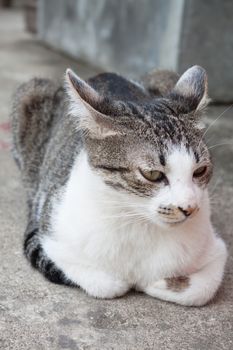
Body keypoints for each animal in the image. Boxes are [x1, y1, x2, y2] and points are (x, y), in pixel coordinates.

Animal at [11, 66, 228, 306]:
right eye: (152, 174)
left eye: (199, 171)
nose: (189, 208)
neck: (139, 223)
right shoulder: (53, 238)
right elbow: (108, 285)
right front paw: (139, 282)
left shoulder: (217, 250)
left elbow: (202, 289)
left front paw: (157, 284)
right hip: (30, 94)